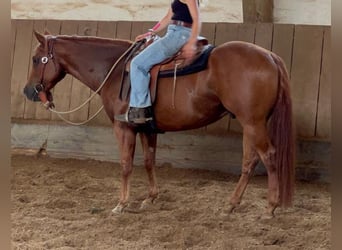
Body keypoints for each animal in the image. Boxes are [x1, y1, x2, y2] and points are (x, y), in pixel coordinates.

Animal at [23, 30, 294, 217]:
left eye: (36, 59)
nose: (28, 91)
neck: (116, 69)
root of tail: (270, 56)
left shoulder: (124, 128)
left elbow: (126, 165)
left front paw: (121, 204)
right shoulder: (146, 127)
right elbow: (149, 161)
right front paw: (150, 198)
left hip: (254, 123)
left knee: (269, 156)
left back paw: (270, 208)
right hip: (250, 125)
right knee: (249, 161)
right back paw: (231, 205)